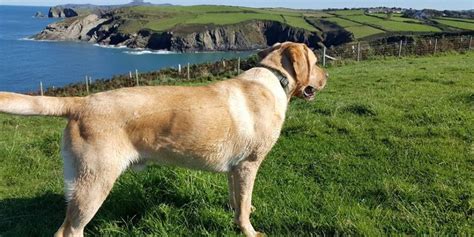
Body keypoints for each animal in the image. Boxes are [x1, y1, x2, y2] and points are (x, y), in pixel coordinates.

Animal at [0, 41, 326, 236]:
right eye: (314, 60)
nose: (327, 77)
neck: (274, 80)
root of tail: (82, 101)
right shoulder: (249, 164)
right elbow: (244, 206)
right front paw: (249, 230)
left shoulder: (235, 169)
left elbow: (238, 199)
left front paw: (240, 213)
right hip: (93, 183)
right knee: (69, 230)